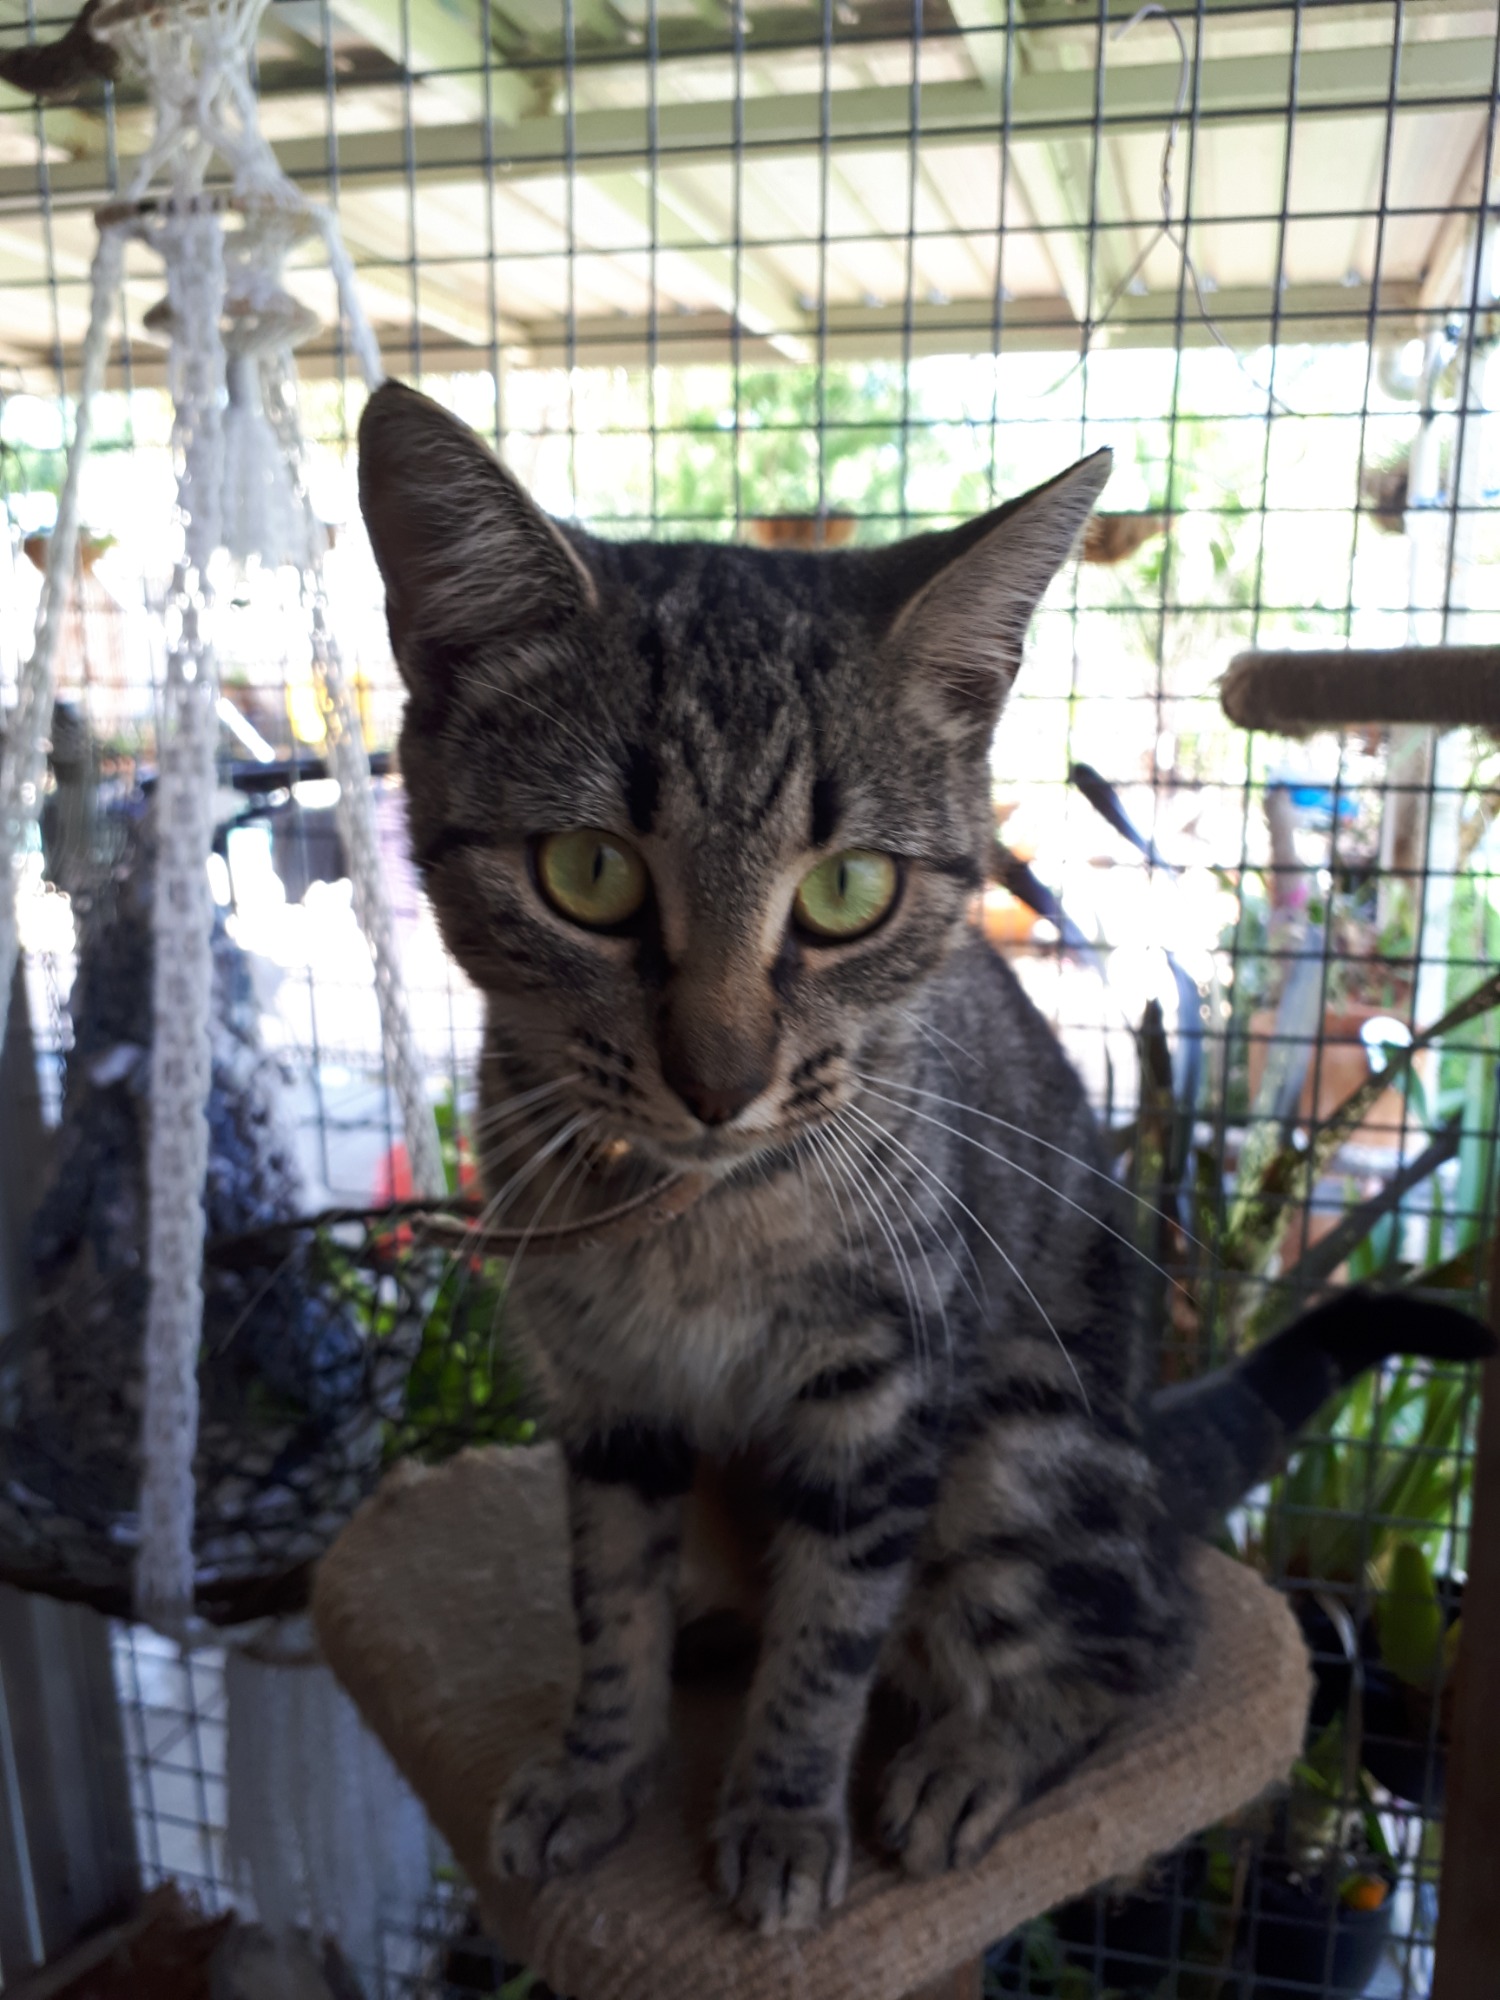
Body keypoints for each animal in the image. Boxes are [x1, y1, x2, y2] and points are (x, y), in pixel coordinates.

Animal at [357, 378, 1491, 1934]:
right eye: (587, 872)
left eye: (848, 890)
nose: (720, 1081)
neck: (698, 1220)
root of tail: (1152, 1450)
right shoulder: (607, 1399)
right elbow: (611, 1601)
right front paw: (600, 1766)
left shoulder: (885, 1387)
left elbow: (834, 1635)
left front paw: (782, 1816)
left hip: (1025, 1440)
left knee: (1144, 1640)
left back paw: (972, 1753)